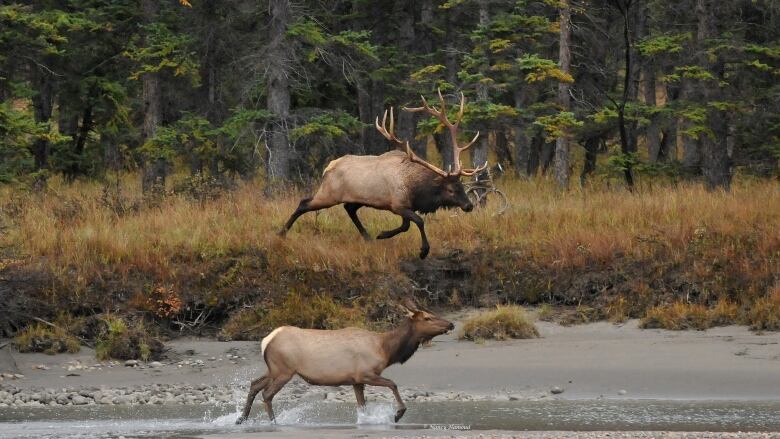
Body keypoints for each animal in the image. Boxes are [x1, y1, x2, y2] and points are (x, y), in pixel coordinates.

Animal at [236, 304, 458, 424]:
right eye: (428, 317)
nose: (451, 324)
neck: (386, 349)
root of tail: (267, 340)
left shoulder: (355, 381)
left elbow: (362, 406)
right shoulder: (365, 373)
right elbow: (393, 384)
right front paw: (397, 414)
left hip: (274, 370)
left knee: (254, 384)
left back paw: (241, 419)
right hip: (284, 371)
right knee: (267, 394)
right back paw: (274, 422)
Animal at [278, 90, 484, 260]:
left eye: (462, 186)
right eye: (450, 190)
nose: (469, 205)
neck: (417, 189)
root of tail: (328, 167)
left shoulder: (404, 206)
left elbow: (406, 225)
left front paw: (382, 234)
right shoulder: (398, 204)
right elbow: (418, 221)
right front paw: (423, 251)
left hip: (355, 198)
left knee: (349, 209)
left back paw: (367, 237)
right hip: (328, 194)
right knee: (304, 203)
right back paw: (282, 233)